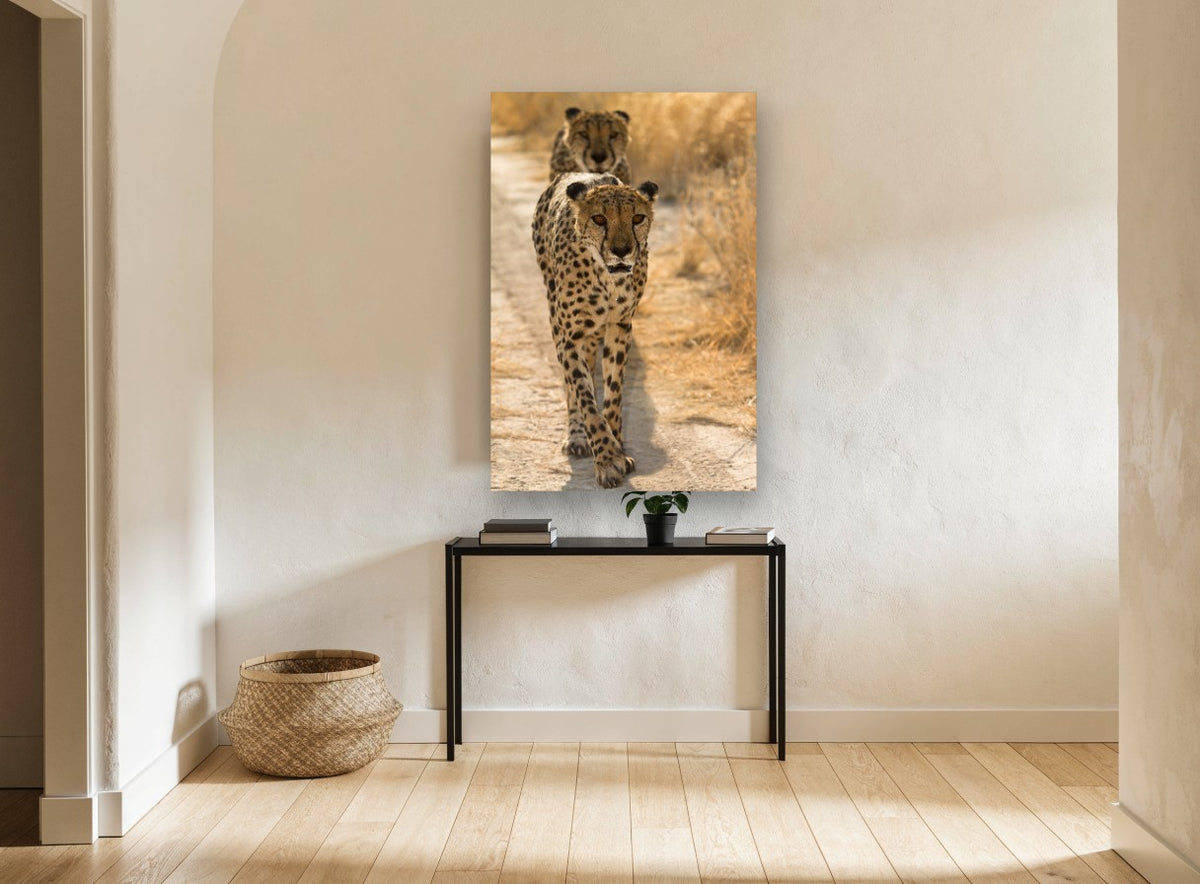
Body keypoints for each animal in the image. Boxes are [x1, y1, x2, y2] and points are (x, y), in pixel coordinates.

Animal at [531, 172, 659, 488]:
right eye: (599, 219)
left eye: (637, 218)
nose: (622, 250)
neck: (607, 277)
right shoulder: (569, 338)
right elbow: (584, 396)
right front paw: (607, 458)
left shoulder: (620, 326)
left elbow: (613, 394)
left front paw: (617, 448)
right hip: (557, 319)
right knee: (573, 386)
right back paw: (578, 437)